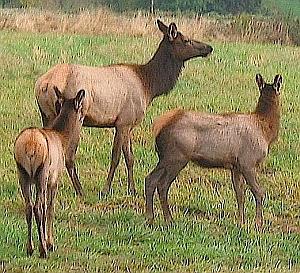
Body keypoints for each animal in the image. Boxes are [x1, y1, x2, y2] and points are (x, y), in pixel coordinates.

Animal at [14, 87, 85, 258]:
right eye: (81, 111)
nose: (83, 119)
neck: (62, 139)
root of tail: (30, 145)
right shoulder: (54, 179)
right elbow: (50, 208)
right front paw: (50, 243)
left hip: (22, 173)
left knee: (28, 207)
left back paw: (30, 248)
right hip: (42, 172)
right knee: (38, 207)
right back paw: (43, 250)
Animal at [34, 20, 213, 197]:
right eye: (186, 40)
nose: (209, 47)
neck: (149, 86)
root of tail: (44, 84)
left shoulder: (128, 124)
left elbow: (130, 157)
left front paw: (132, 189)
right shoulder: (123, 122)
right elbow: (116, 157)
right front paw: (105, 190)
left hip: (46, 115)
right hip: (76, 114)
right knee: (69, 155)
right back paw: (80, 190)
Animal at [145, 73, 282, 228]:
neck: (266, 130)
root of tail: (158, 127)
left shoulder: (236, 166)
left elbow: (239, 194)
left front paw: (241, 222)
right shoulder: (248, 163)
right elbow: (258, 192)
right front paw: (258, 223)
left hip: (165, 157)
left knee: (150, 179)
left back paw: (150, 219)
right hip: (176, 156)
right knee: (162, 185)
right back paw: (168, 219)